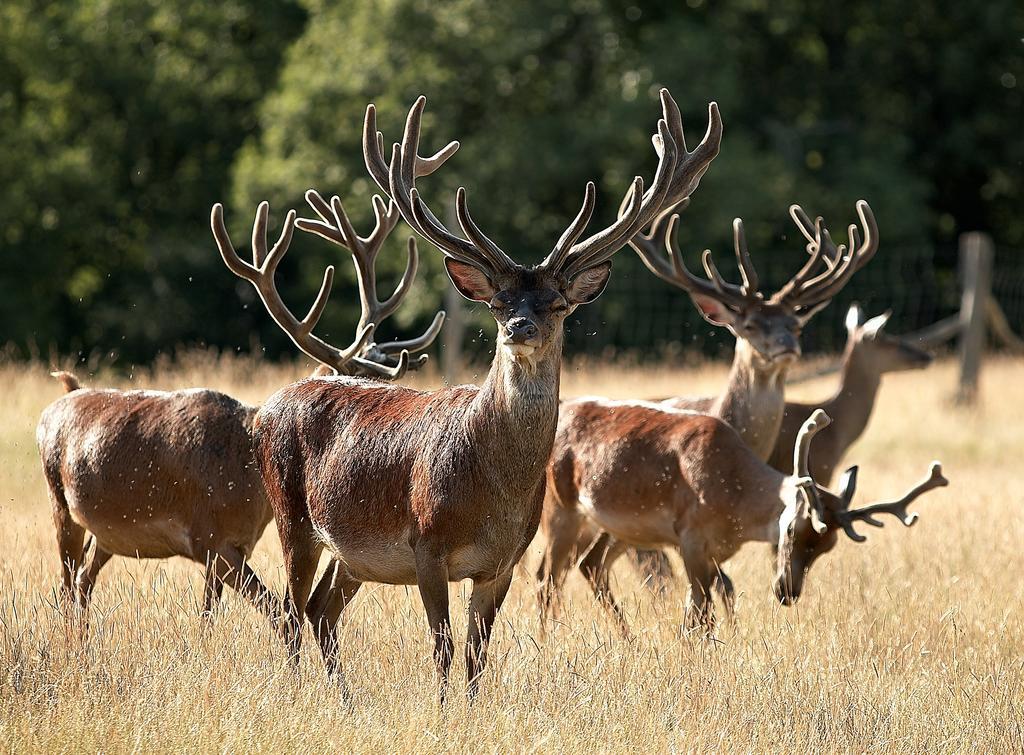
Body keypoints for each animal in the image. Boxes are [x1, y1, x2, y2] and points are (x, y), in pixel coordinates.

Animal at [34, 185, 436, 622]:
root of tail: (63, 396)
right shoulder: (208, 537)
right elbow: (274, 610)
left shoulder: (232, 544)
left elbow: (210, 612)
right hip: (59, 503)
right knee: (66, 580)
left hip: (105, 534)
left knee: (82, 582)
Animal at [218, 88, 720, 696]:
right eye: (499, 303)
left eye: (557, 303)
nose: (519, 327)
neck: (493, 491)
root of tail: (266, 410)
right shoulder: (426, 544)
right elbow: (443, 647)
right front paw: (441, 707)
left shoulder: (503, 562)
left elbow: (478, 653)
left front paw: (470, 706)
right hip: (292, 515)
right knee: (291, 613)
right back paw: (304, 691)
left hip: (351, 554)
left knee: (319, 611)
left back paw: (345, 699)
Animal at [540, 401, 946, 631]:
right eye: (792, 531)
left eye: (827, 547)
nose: (787, 592)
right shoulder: (690, 536)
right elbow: (700, 612)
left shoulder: (713, 550)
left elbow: (712, 601)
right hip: (561, 508)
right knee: (547, 578)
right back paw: (550, 639)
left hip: (619, 528)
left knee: (590, 565)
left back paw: (628, 639)